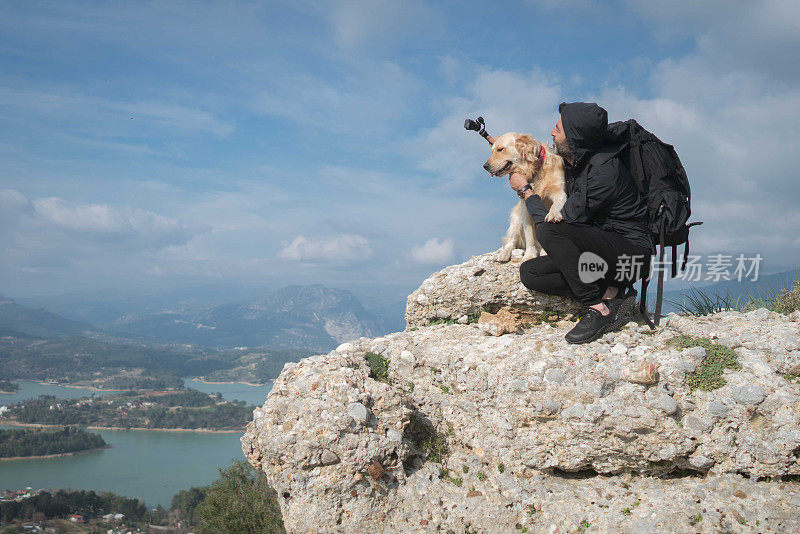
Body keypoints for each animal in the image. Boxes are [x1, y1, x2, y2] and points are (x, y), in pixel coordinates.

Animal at [484, 134, 564, 264]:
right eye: (492, 151)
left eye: (500, 149)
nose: (485, 166)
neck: (534, 170)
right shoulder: (525, 207)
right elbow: (529, 235)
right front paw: (529, 255)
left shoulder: (559, 189)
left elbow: (557, 202)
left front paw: (553, 214)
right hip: (516, 219)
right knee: (510, 242)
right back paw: (504, 254)